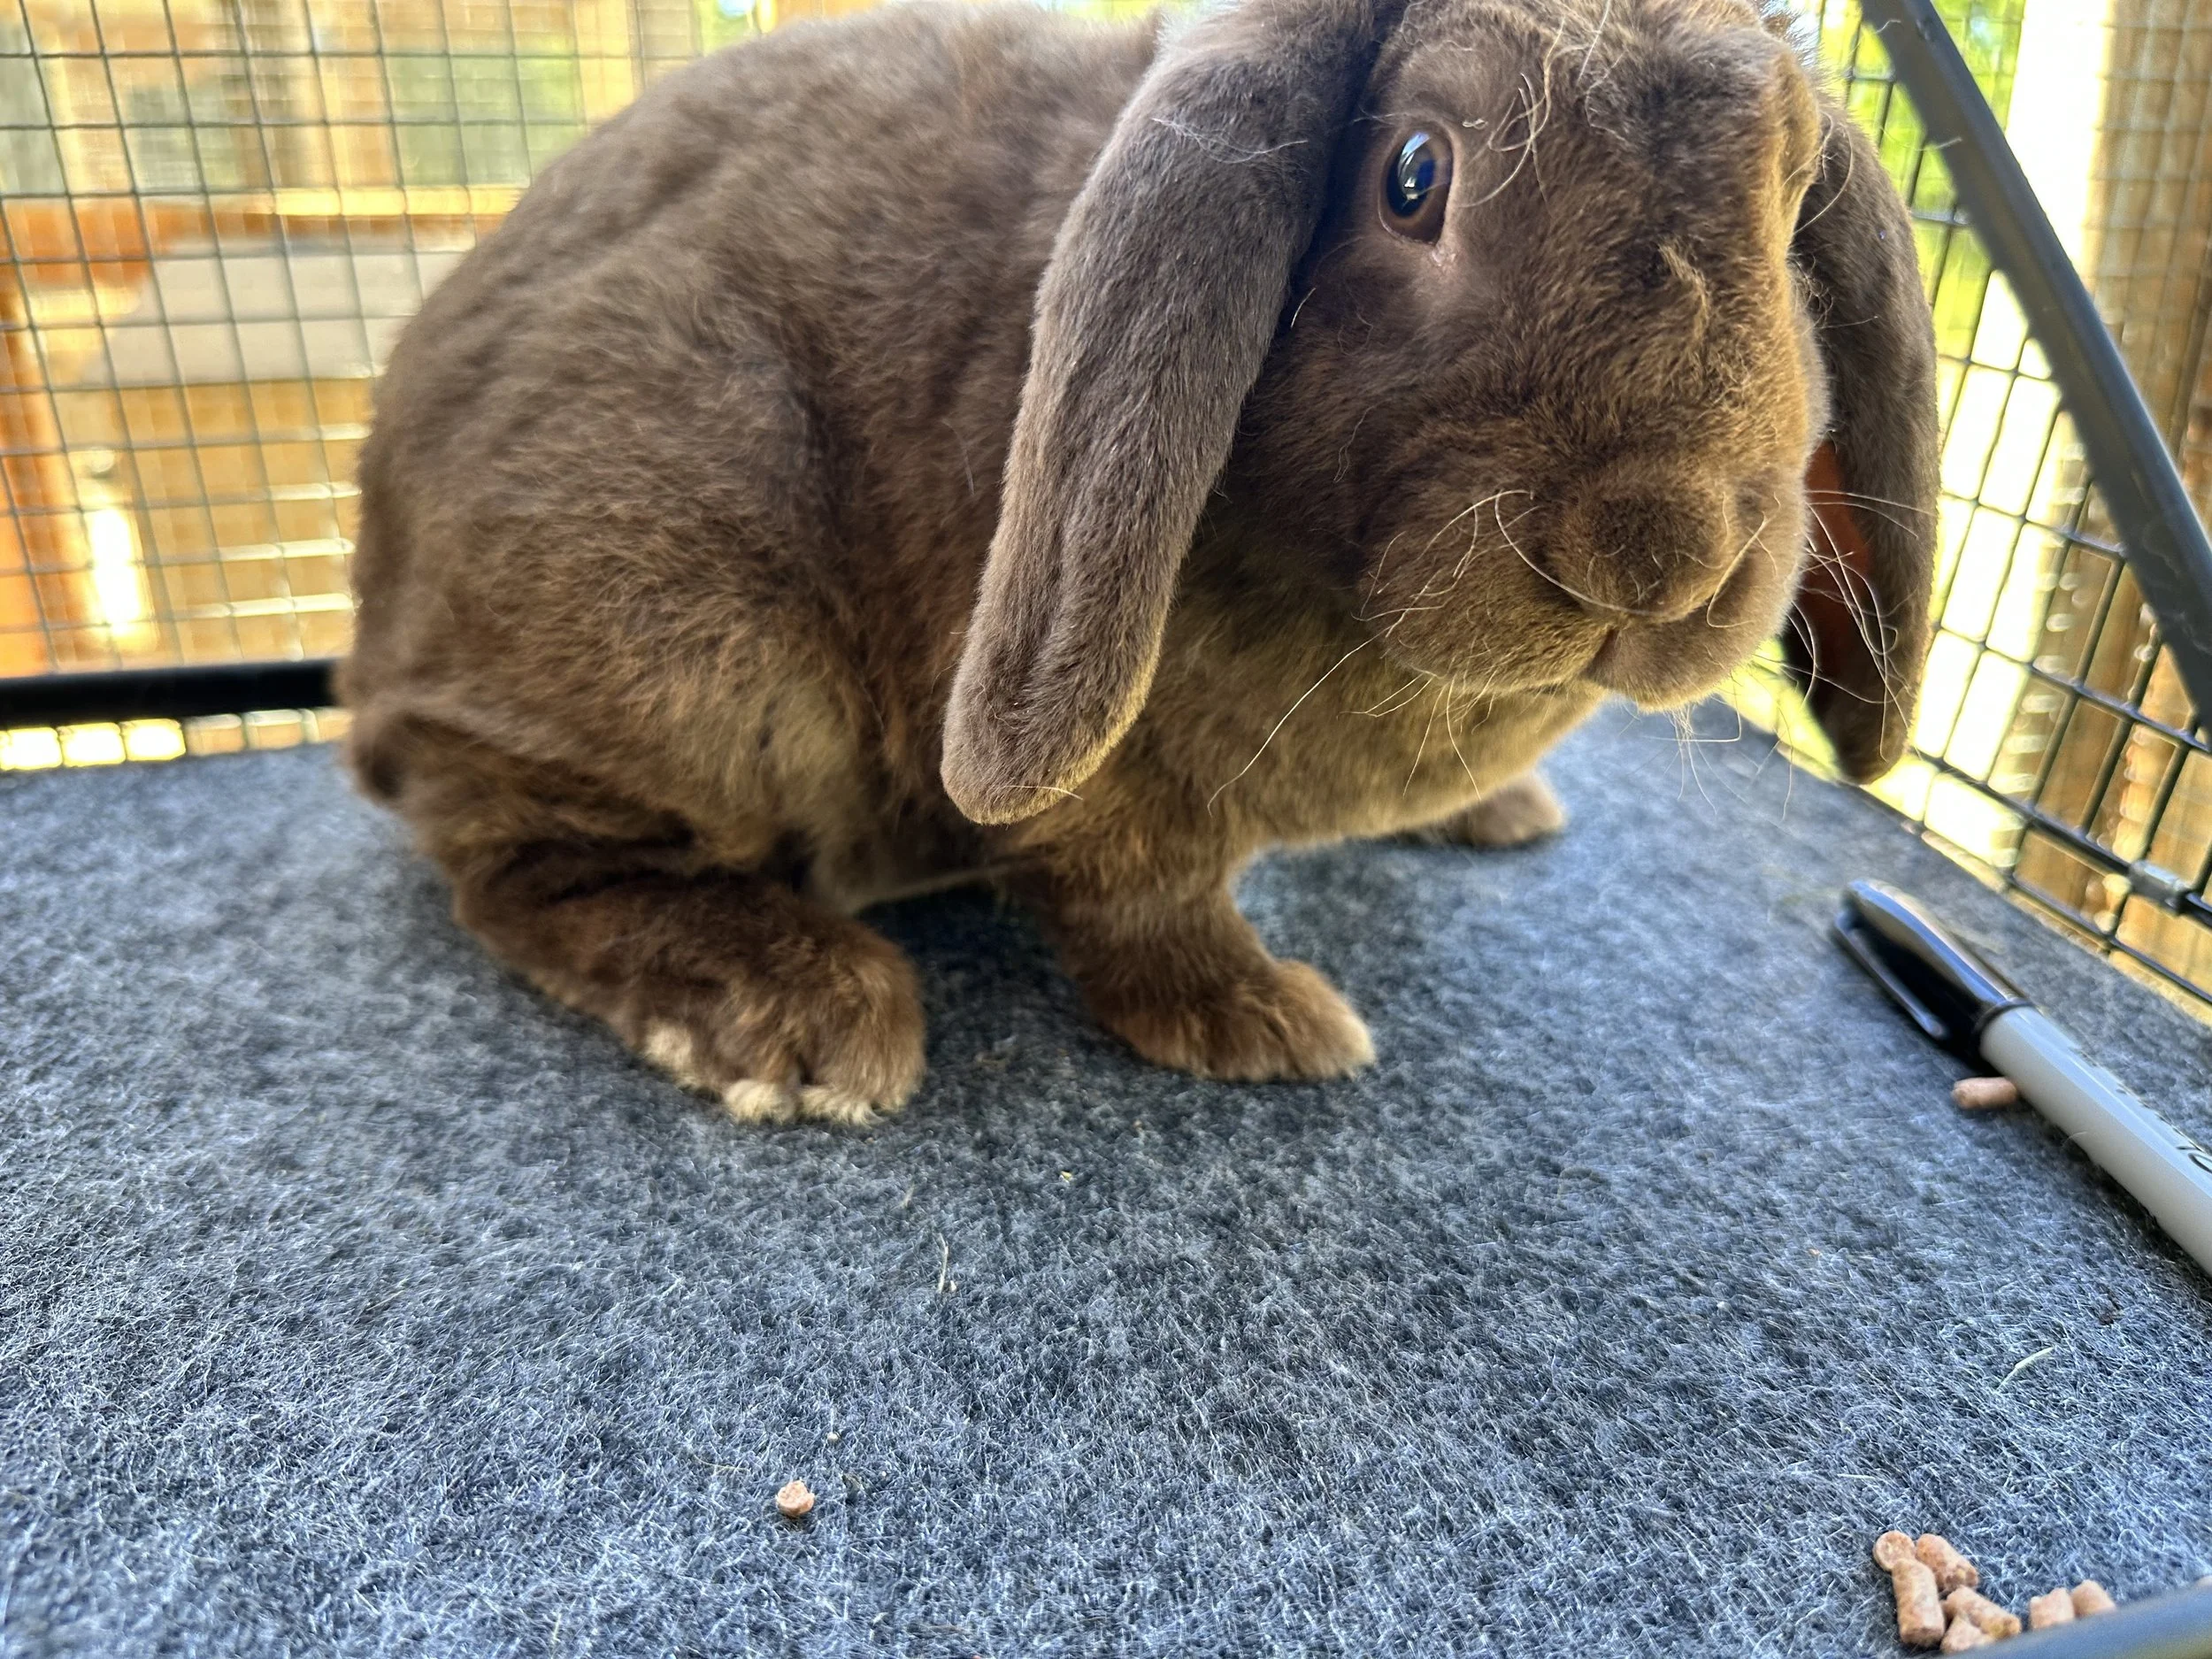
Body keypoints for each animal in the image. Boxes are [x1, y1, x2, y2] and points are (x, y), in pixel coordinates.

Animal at [342, 0, 1938, 1124]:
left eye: (1797, 200)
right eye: (1414, 175)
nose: (1660, 556)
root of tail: (371, 635)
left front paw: (1498, 817)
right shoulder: (1107, 780)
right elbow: (1141, 903)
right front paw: (1267, 1026)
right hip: (691, 638)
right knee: (518, 857)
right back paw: (803, 1017)